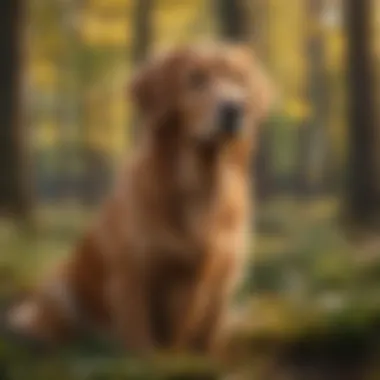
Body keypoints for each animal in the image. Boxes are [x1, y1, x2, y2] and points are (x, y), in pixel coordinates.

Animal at [5, 43, 274, 358]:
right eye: (195, 79)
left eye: (239, 80)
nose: (234, 108)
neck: (201, 185)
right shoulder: (133, 272)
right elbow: (139, 336)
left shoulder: (222, 277)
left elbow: (207, 336)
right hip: (58, 287)